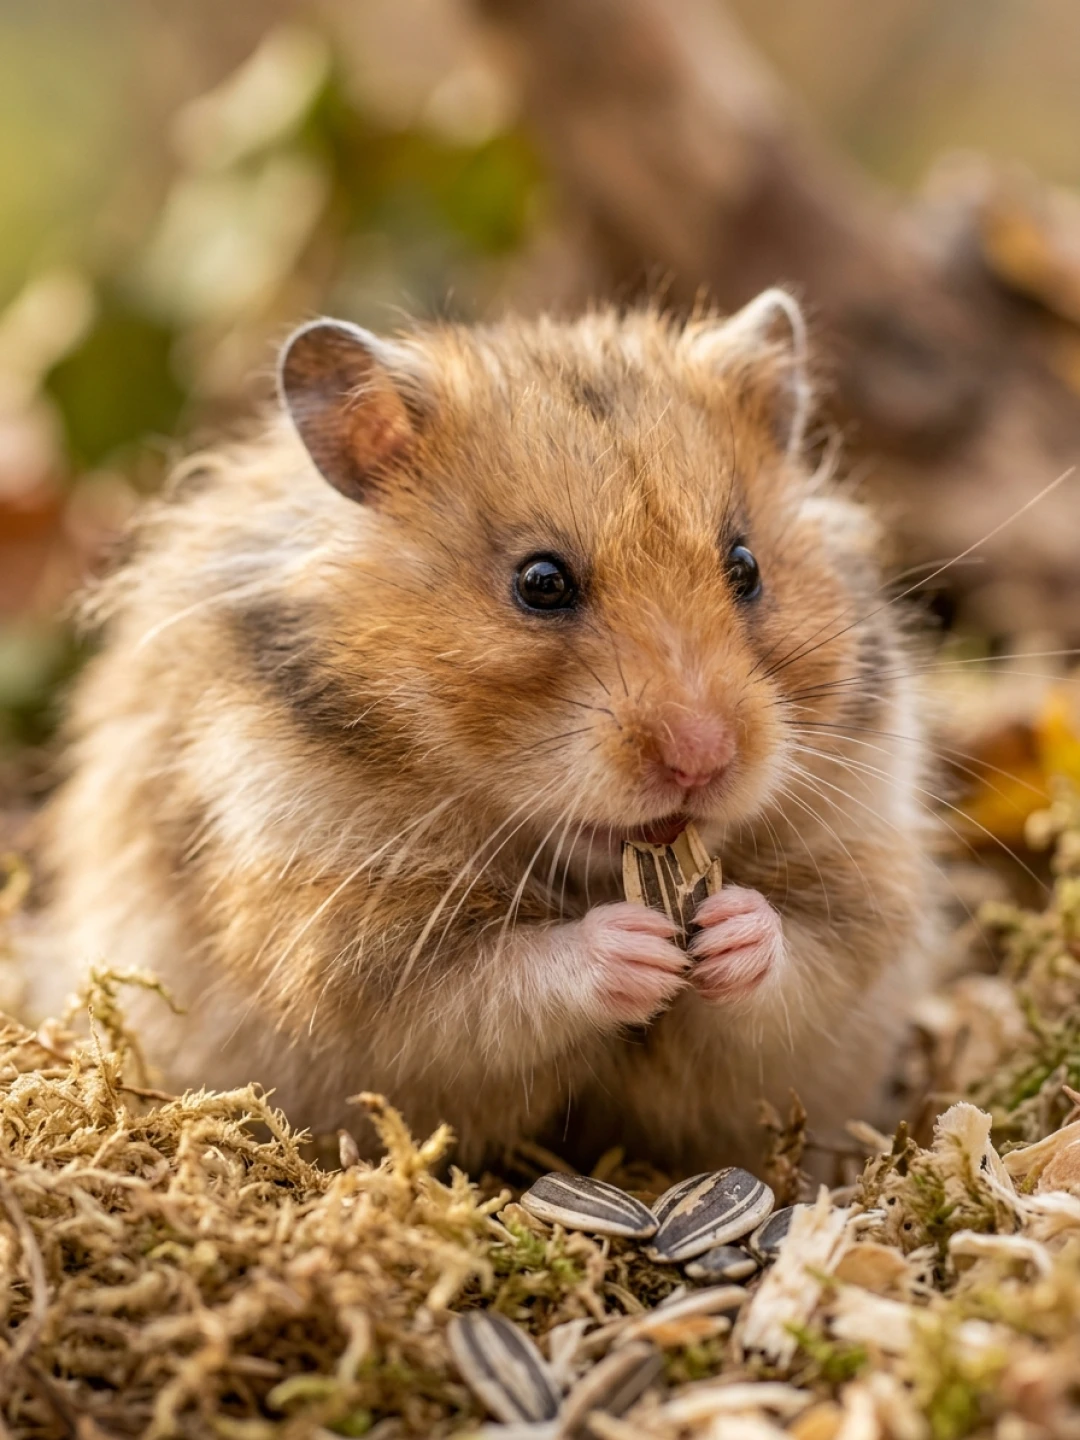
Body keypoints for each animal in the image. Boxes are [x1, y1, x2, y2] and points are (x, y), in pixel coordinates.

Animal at [37, 291, 942, 1174]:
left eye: (746, 567)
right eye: (540, 582)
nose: (702, 759)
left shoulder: (864, 877)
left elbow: (808, 953)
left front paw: (728, 929)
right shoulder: (343, 931)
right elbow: (497, 980)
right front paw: (638, 946)